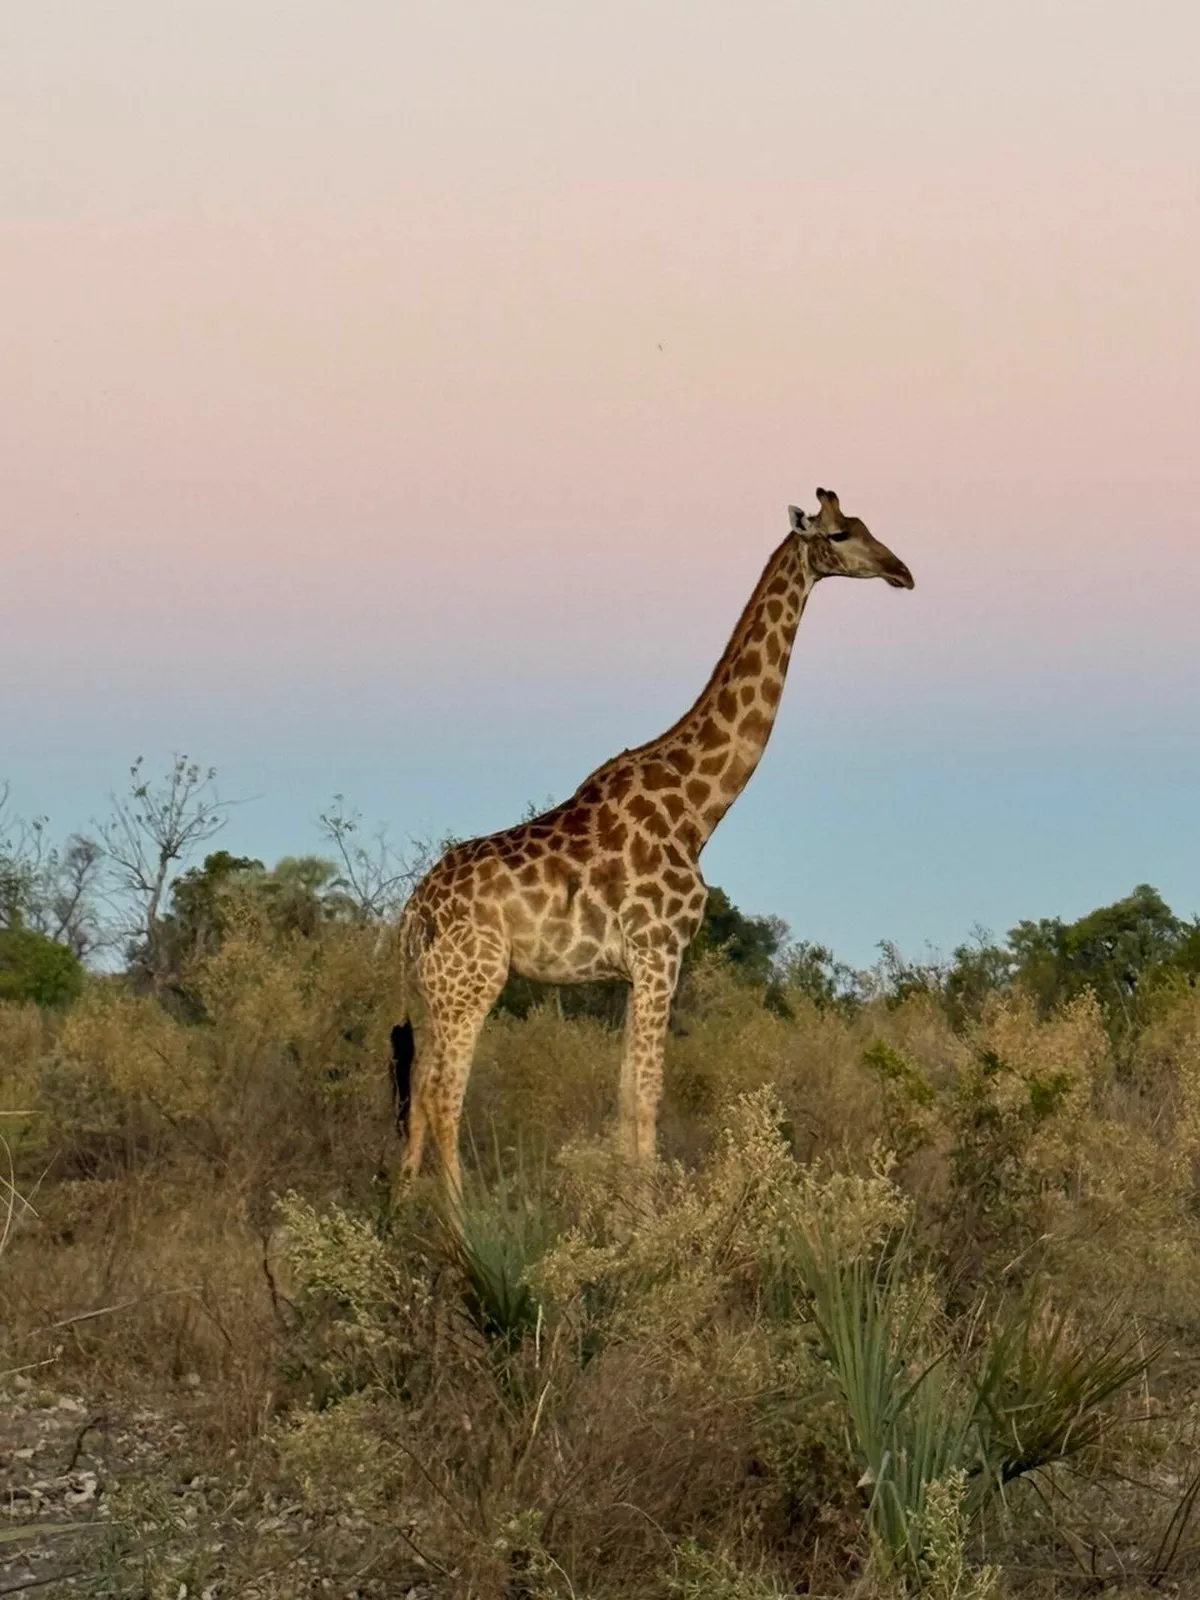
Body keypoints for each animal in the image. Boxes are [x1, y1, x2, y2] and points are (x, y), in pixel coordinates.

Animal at [389, 489, 914, 1193]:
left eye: (864, 525)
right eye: (840, 534)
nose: (901, 572)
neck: (697, 810)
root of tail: (412, 914)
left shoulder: (634, 968)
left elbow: (623, 1097)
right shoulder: (661, 951)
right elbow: (647, 1096)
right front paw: (644, 1209)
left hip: (431, 990)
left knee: (417, 1089)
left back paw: (402, 1203)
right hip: (473, 979)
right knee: (443, 1093)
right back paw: (459, 1214)